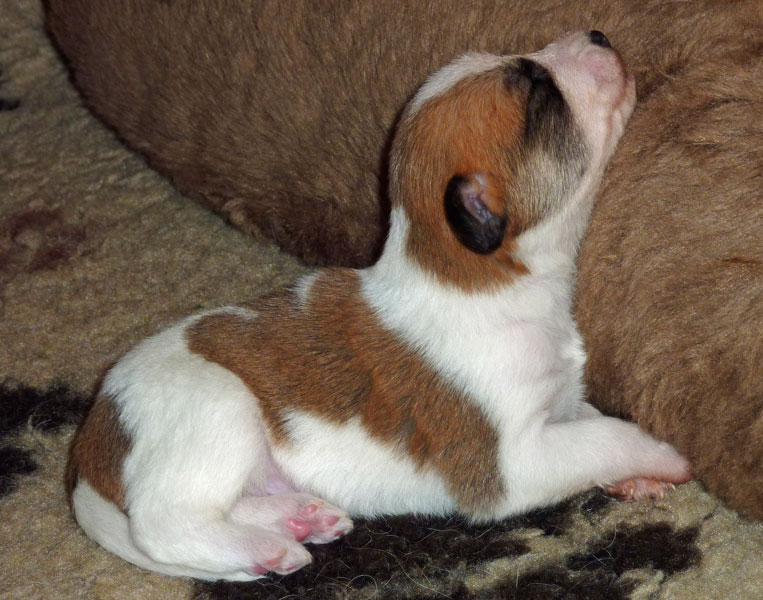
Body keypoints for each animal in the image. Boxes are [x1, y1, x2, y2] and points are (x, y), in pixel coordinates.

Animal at [66, 31, 691, 581]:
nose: (599, 35)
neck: (481, 282)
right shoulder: (512, 463)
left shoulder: (557, 407)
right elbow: (608, 436)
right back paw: (265, 548)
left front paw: (635, 478)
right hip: (220, 412)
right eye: (536, 85)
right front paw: (663, 456)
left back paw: (296, 517)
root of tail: (91, 441)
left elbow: (590, 422)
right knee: (165, 524)